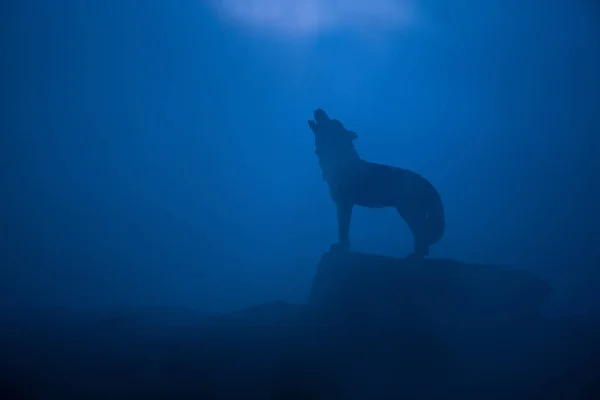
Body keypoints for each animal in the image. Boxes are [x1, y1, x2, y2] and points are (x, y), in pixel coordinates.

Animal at [310, 108, 446, 256]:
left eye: (331, 121)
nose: (318, 109)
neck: (337, 157)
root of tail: (427, 183)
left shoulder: (344, 203)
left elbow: (343, 230)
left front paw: (342, 248)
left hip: (409, 212)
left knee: (421, 236)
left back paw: (414, 256)